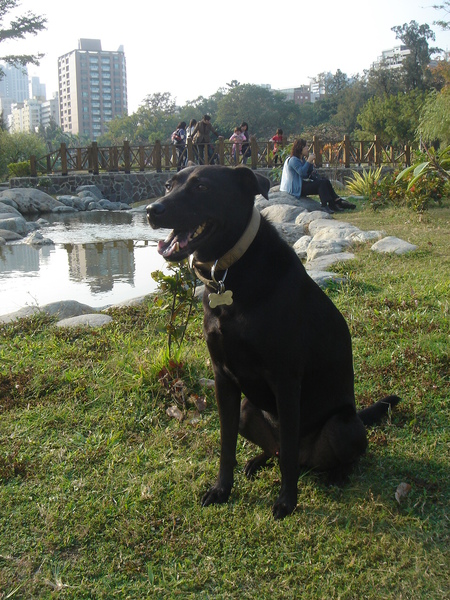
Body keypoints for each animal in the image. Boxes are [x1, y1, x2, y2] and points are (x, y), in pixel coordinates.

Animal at [149, 165, 400, 520]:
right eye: (169, 185)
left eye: (201, 187)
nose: (151, 210)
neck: (228, 274)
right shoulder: (223, 379)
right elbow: (226, 445)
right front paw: (222, 489)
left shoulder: (286, 380)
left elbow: (288, 456)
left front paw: (287, 502)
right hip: (247, 410)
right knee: (277, 449)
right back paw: (257, 461)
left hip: (341, 426)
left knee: (319, 455)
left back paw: (337, 475)